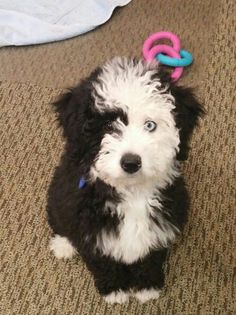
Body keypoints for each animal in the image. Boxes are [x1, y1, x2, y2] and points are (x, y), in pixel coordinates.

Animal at [46, 56, 203, 304]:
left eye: (150, 125)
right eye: (108, 126)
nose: (131, 162)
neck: (131, 193)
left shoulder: (161, 226)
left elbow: (149, 259)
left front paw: (147, 287)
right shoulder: (92, 233)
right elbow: (104, 263)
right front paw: (115, 290)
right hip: (58, 194)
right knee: (58, 220)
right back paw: (63, 245)